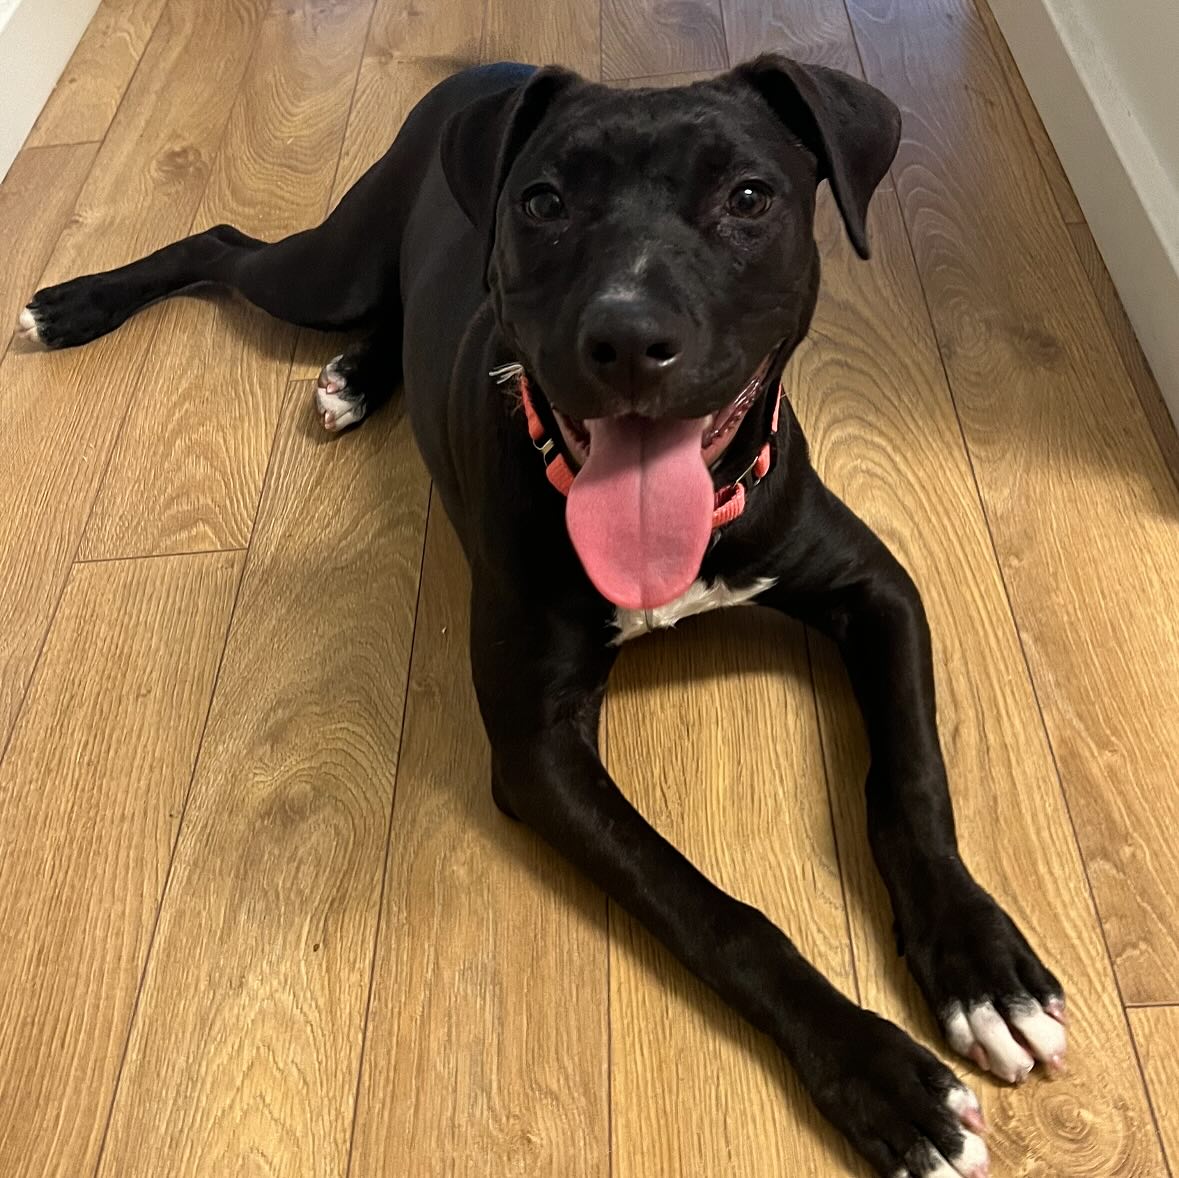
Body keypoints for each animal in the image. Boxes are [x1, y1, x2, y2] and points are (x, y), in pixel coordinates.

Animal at [18, 57, 1070, 1178]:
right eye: (544, 202)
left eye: (748, 197)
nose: (628, 337)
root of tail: (488, 64)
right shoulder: (540, 752)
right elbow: (718, 914)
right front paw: (879, 1073)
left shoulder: (876, 588)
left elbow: (910, 780)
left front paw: (983, 969)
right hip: (325, 271)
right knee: (223, 245)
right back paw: (76, 305)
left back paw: (357, 375)